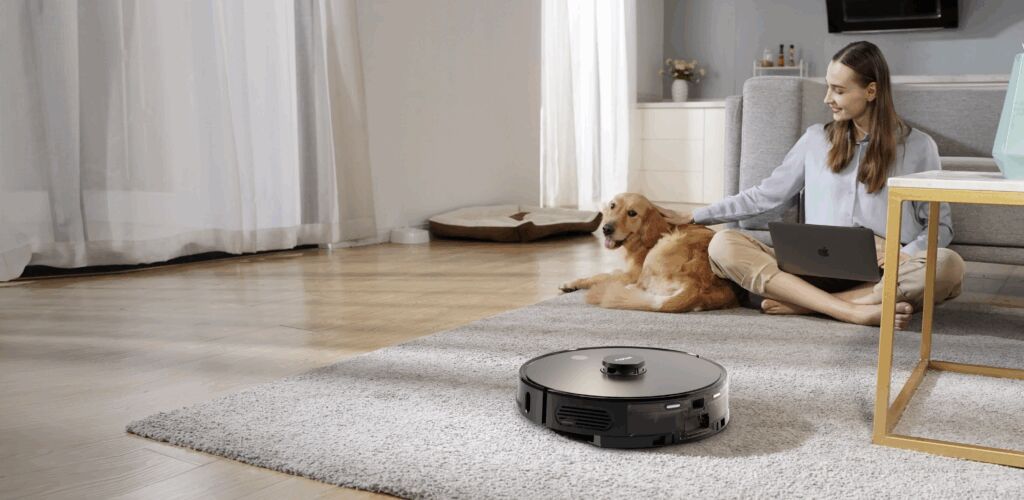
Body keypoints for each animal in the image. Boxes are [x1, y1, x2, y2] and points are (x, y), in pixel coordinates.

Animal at [559, 193, 738, 313]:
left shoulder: (631, 273)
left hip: (661, 250)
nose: (606, 229)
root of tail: (696, 286)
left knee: (639, 286)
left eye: (632, 213)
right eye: (612, 206)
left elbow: (599, 276)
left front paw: (572, 283)